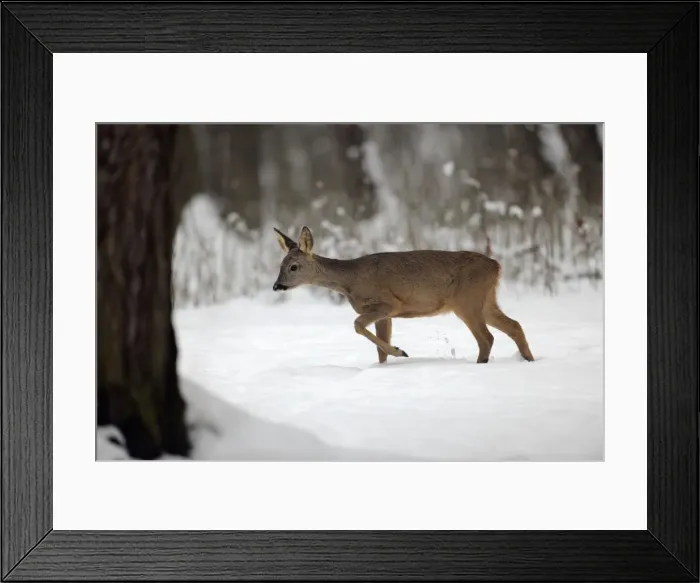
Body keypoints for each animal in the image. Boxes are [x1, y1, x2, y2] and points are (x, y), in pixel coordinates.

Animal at [272, 226, 535, 365]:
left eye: (293, 267)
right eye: (281, 264)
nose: (276, 286)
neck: (350, 281)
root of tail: (496, 266)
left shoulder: (388, 303)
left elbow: (357, 325)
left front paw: (400, 351)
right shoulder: (385, 314)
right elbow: (379, 348)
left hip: (467, 301)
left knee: (487, 338)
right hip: (486, 300)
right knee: (514, 326)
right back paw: (529, 360)